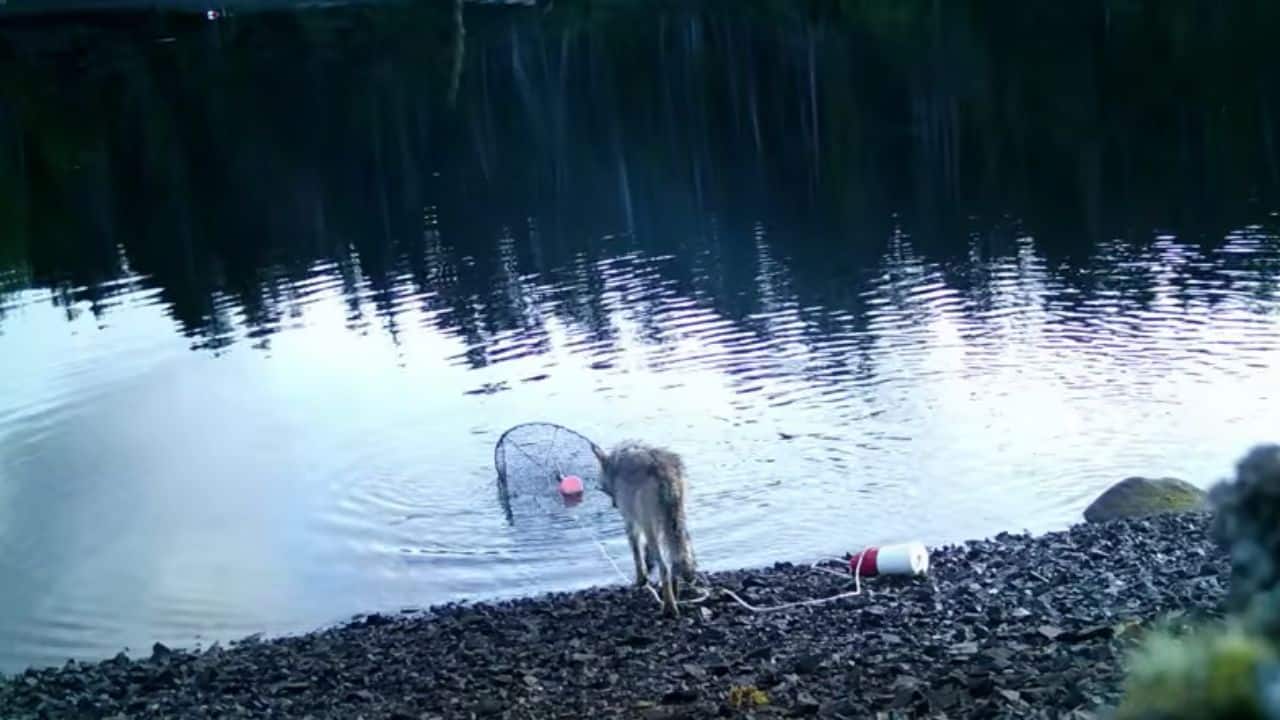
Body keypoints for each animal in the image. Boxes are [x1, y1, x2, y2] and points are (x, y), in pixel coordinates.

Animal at [592, 441, 697, 616]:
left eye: (603, 487)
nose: (614, 505)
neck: (615, 465)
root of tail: (663, 470)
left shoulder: (631, 522)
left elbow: (636, 553)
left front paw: (640, 580)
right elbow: (646, 552)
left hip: (654, 524)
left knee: (665, 567)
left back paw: (669, 608)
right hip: (678, 520)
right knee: (679, 557)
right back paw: (675, 594)